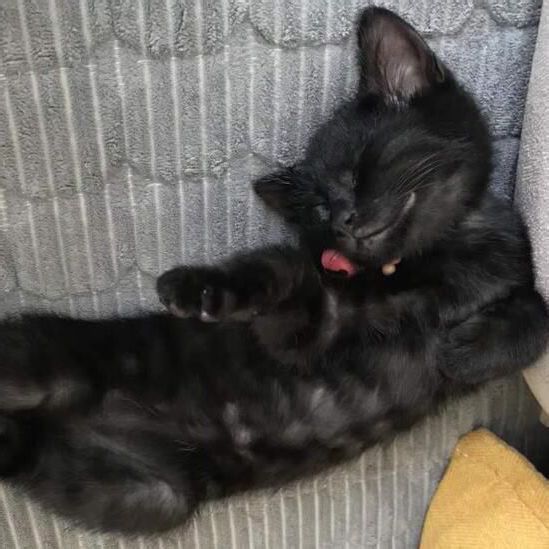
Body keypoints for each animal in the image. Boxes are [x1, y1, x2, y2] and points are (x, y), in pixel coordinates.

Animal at [0, 7, 546, 534]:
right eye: (323, 208)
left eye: (354, 173)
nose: (344, 220)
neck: (441, 256)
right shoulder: (308, 325)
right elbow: (276, 272)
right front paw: (200, 288)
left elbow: (535, 313)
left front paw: (468, 350)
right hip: (41, 363)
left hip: (141, 495)